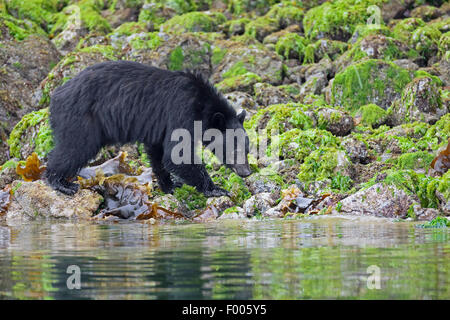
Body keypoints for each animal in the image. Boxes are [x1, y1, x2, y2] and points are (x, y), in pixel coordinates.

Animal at [47, 60, 251, 195]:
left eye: (247, 149)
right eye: (234, 149)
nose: (246, 172)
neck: (202, 103)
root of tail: (56, 94)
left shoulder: (158, 127)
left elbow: (158, 154)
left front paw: (169, 185)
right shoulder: (181, 112)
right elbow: (178, 154)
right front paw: (216, 189)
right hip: (81, 119)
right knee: (74, 148)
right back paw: (60, 183)